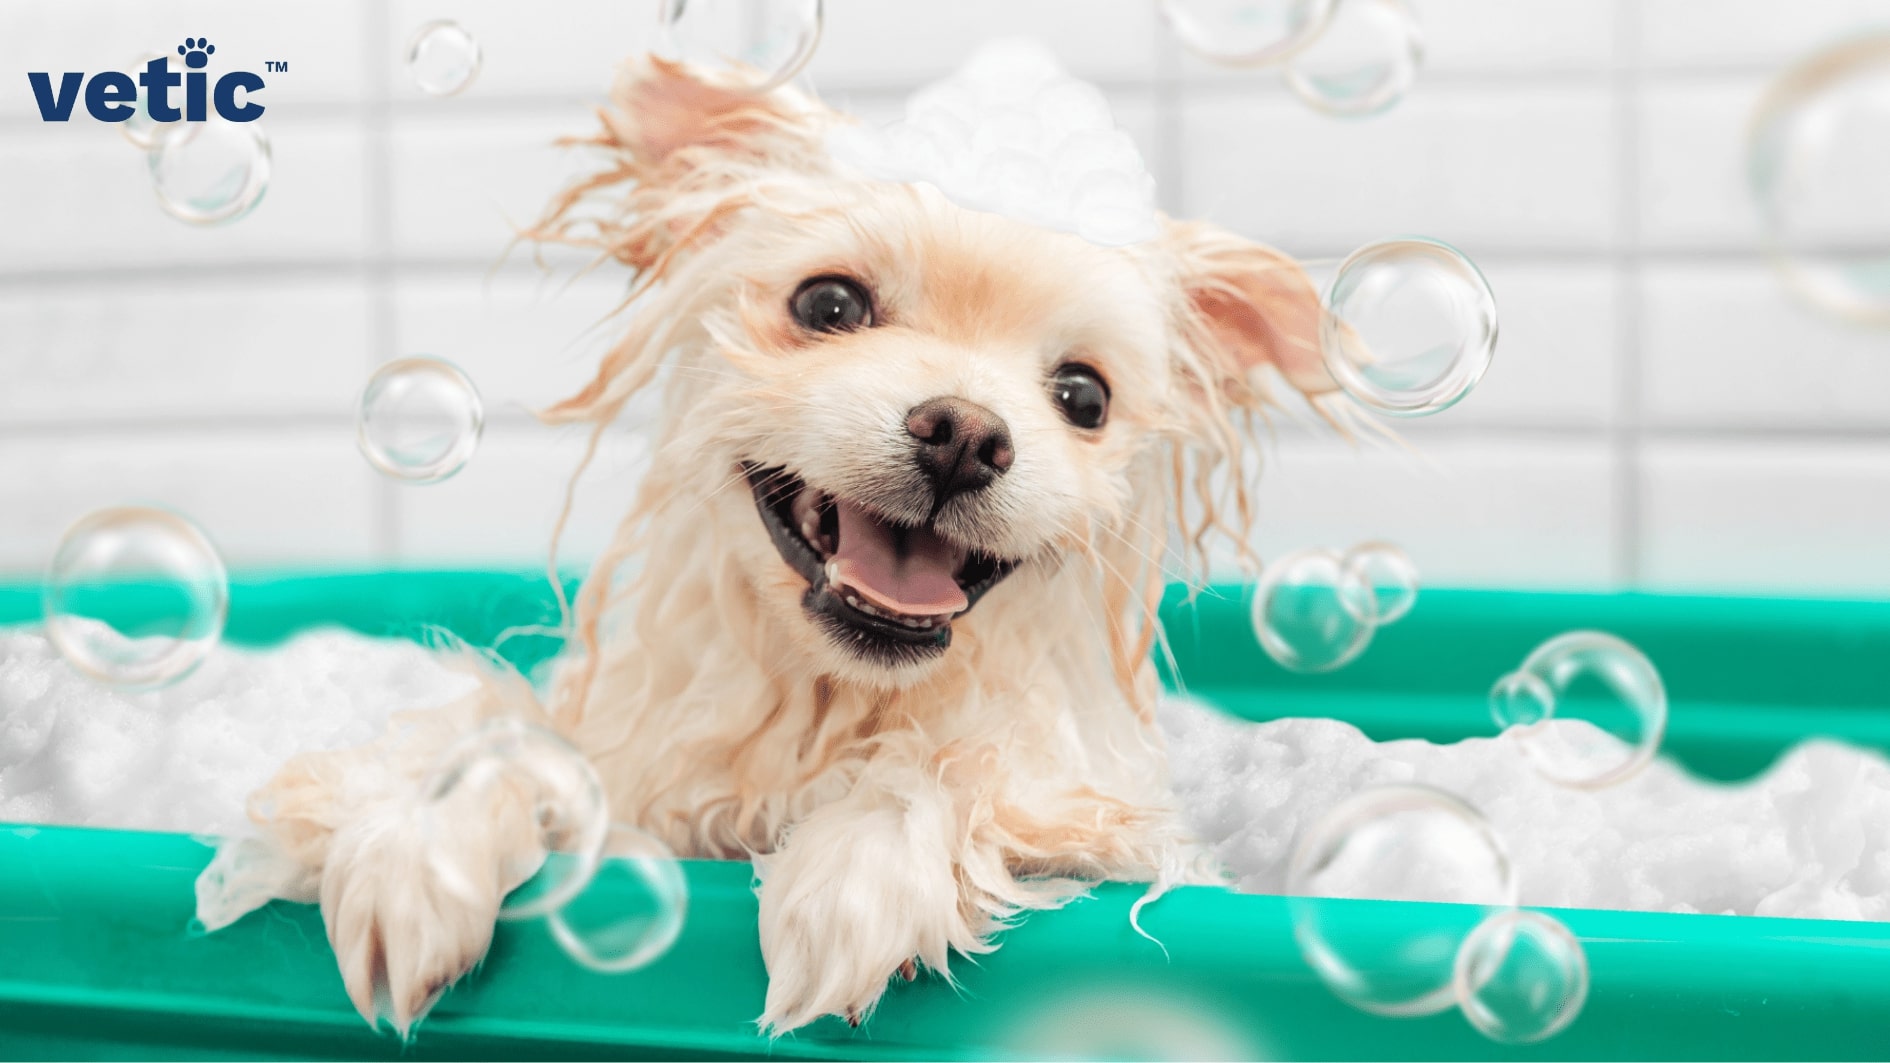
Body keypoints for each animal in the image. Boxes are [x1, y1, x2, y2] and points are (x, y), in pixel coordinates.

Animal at [188, 49, 1345, 1036]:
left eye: (1084, 397)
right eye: (829, 302)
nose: (965, 433)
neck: (821, 712)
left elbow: (964, 764)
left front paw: (862, 868)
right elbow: (502, 734)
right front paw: (420, 849)